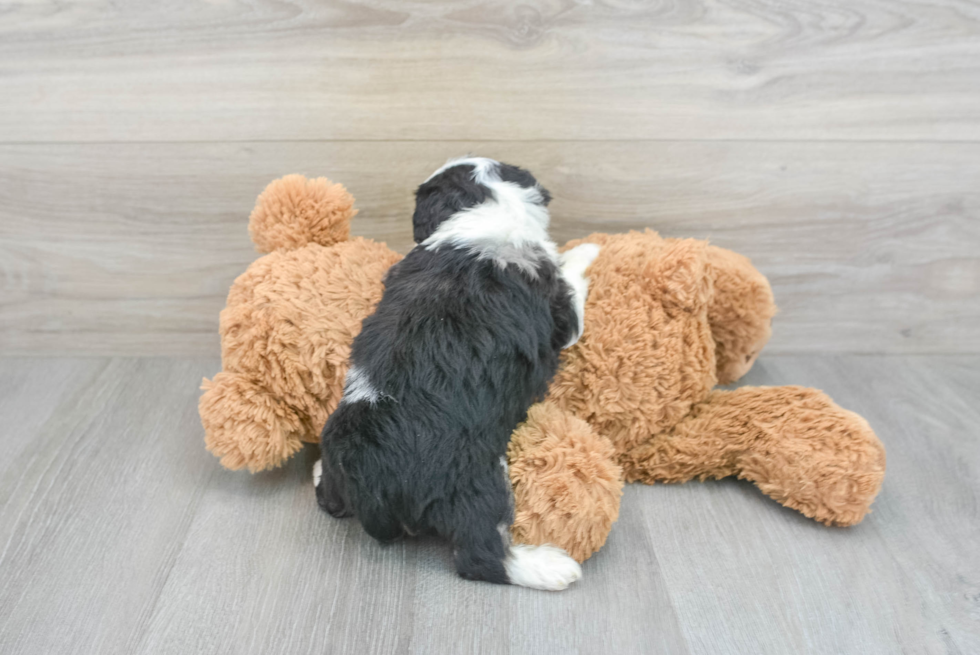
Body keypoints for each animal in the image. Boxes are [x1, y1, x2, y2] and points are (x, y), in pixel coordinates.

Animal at [318, 156, 600, 592]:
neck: (487, 208)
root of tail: (372, 473)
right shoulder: (560, 310)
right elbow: (570, 280)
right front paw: (585, 248)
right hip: (479, 485)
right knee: (480, 556)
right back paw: (551, 567)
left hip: (336, 444)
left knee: (329, 500)